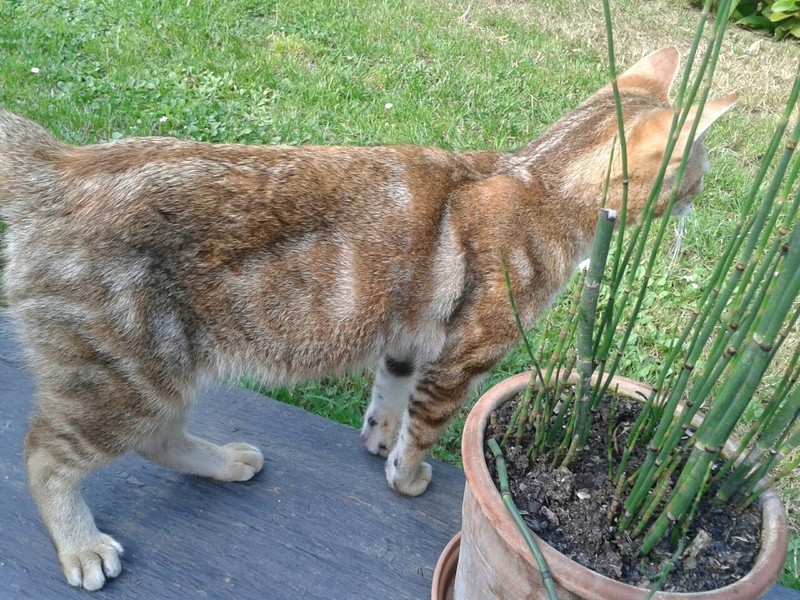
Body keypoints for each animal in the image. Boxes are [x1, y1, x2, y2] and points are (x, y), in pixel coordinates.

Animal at [0, 47, 736, 592]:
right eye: (697, 172)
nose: (698, 200)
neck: (539, 181)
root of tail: (60, 165)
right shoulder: (464, 356)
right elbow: (427, 430)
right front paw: (405, 477)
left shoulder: (407, 340)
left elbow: (391, 398)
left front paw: (380, 438)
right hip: (123, 378)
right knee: (46, 456)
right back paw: (82, 546)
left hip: (159, 375)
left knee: (159, 440)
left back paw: (226, 461)